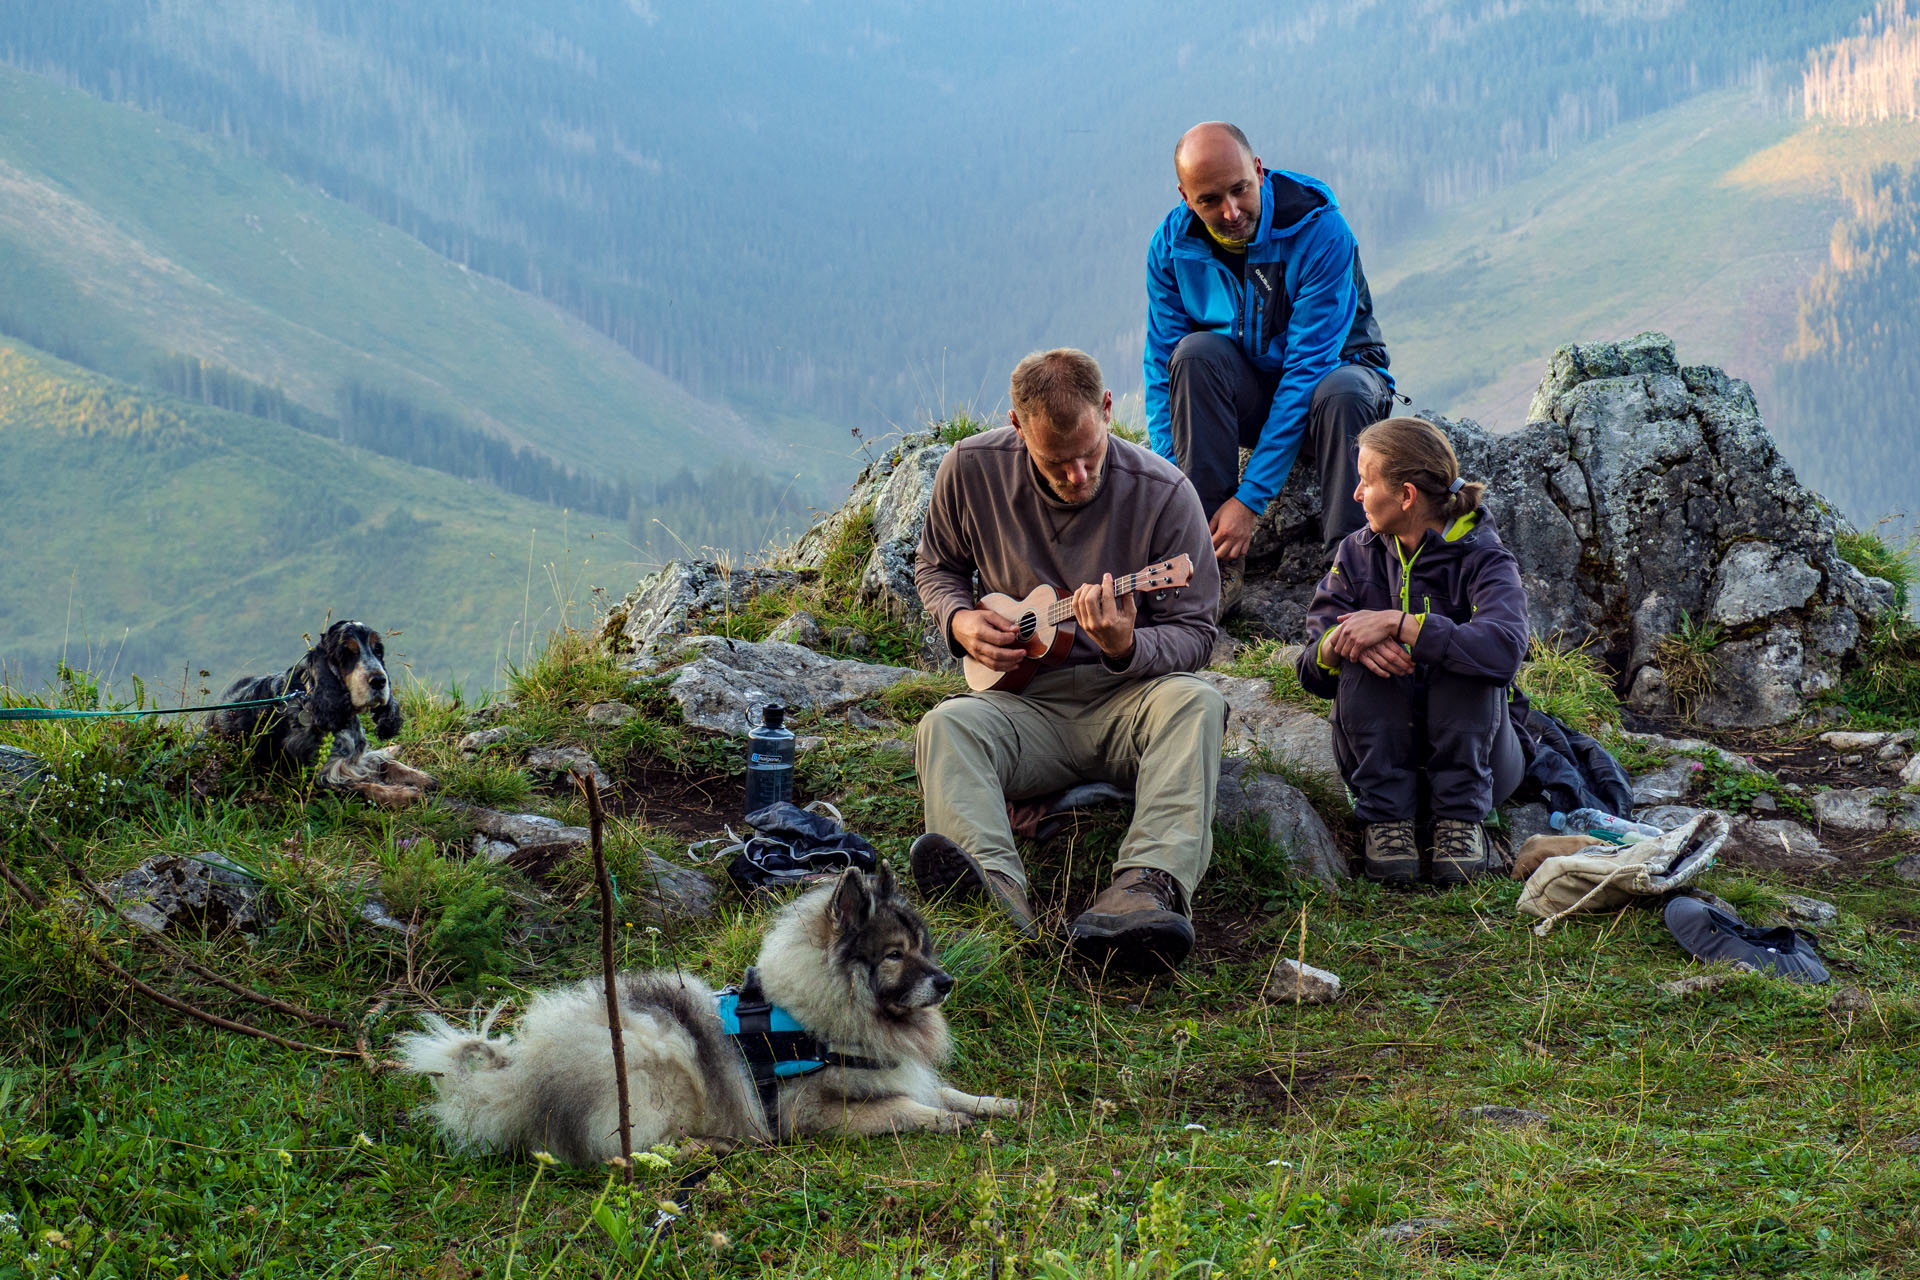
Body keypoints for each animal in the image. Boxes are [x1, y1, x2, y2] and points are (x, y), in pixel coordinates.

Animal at [391, 855, 1021, 1166]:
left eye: (925, 949)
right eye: (894, 955)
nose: (946, 982)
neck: (816, 1017)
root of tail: (520, 1080)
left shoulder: (901, 1072)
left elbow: (945, 1090)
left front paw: (995, 1103)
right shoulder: (809, 1112)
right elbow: (899, 1108)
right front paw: (943, 1120)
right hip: (651, 1062)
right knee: (626, 1151)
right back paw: (707, 1146)